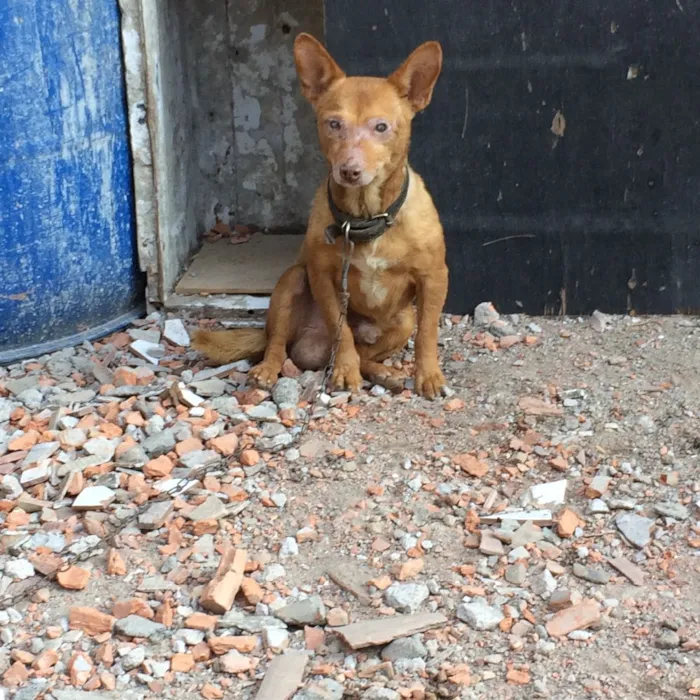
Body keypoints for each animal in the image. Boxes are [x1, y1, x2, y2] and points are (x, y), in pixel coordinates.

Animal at [196, 34, 448, 400]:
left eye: (381, 127)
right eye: (333, 123)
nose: (349, 170)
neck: (366, 217)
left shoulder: (434, 277)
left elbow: (428, 334)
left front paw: (428, 375)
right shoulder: (322, 277)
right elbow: (342, 333)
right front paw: (344, 371)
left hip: (403, 321)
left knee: (369, 352)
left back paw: (384, 373)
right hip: (292, 281)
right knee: (278, 343)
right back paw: (268, 370)